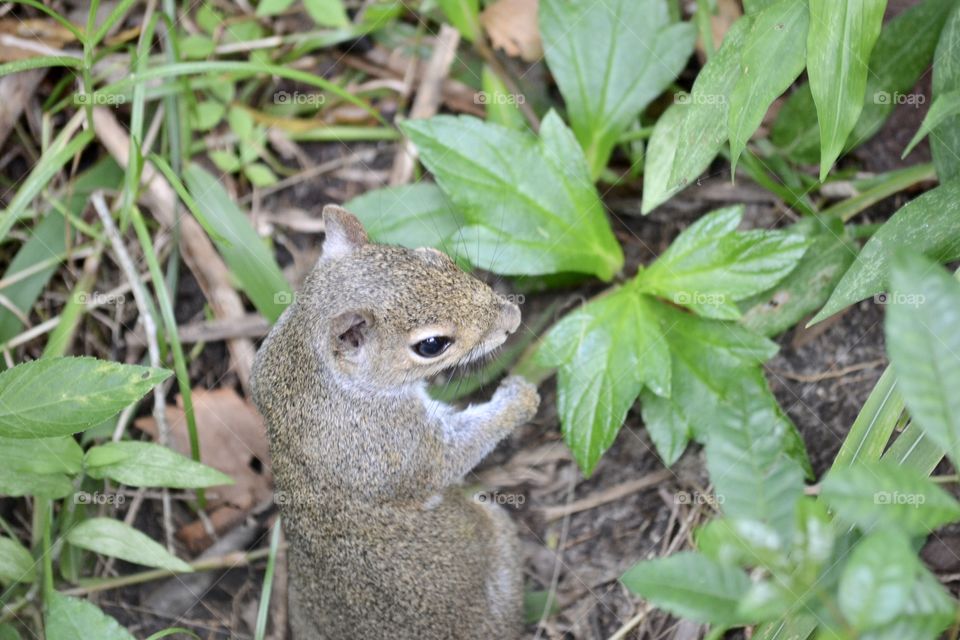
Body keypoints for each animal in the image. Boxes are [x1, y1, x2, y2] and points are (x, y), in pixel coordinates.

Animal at [250, 205, 540, 639]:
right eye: (432, 345)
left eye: (436, 258)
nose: (512, 318)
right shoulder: (393, 445)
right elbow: (448, 456)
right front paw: (519, 399)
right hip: (499, 535)